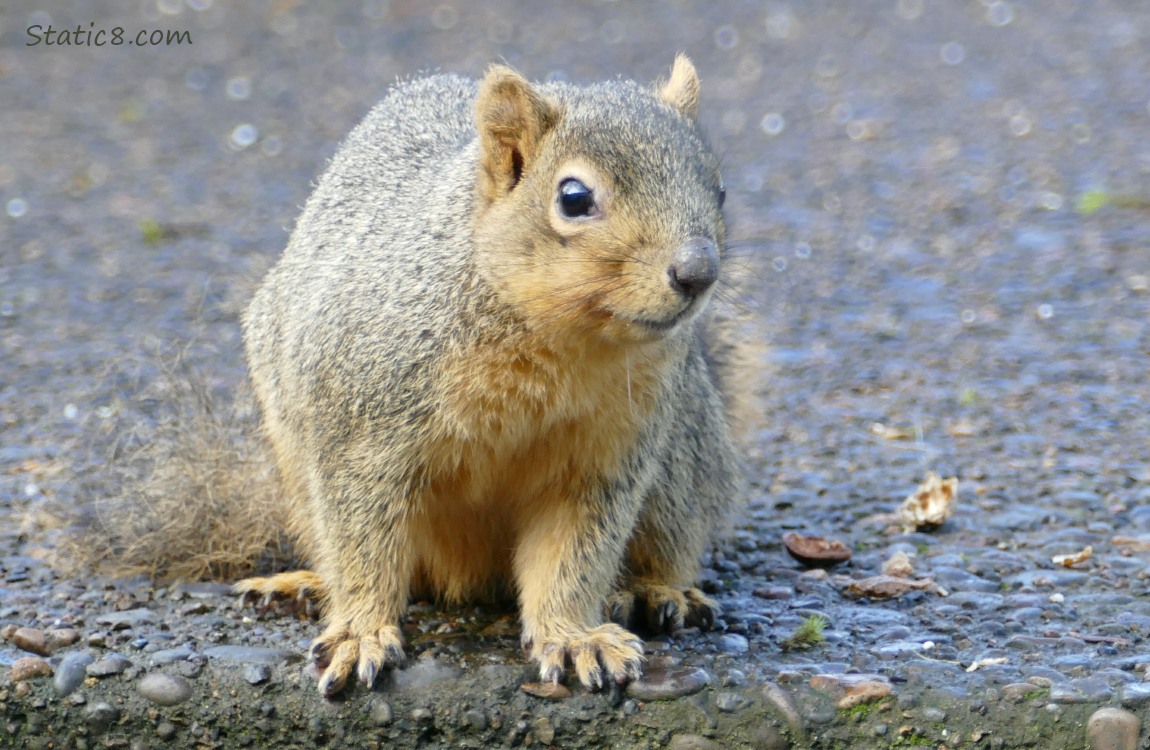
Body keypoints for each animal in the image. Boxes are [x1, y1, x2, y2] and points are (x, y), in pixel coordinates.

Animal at [238, 54, 749, 699]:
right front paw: (360, 632)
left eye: (720, 189)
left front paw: (574, 635)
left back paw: (656, 591)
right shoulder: (362, 425)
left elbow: (573, 555)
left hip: (683, 455)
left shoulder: (603, 459)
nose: (698, 270)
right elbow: (362, 542)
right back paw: (304, 584)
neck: (557, 339)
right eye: (574, 198)